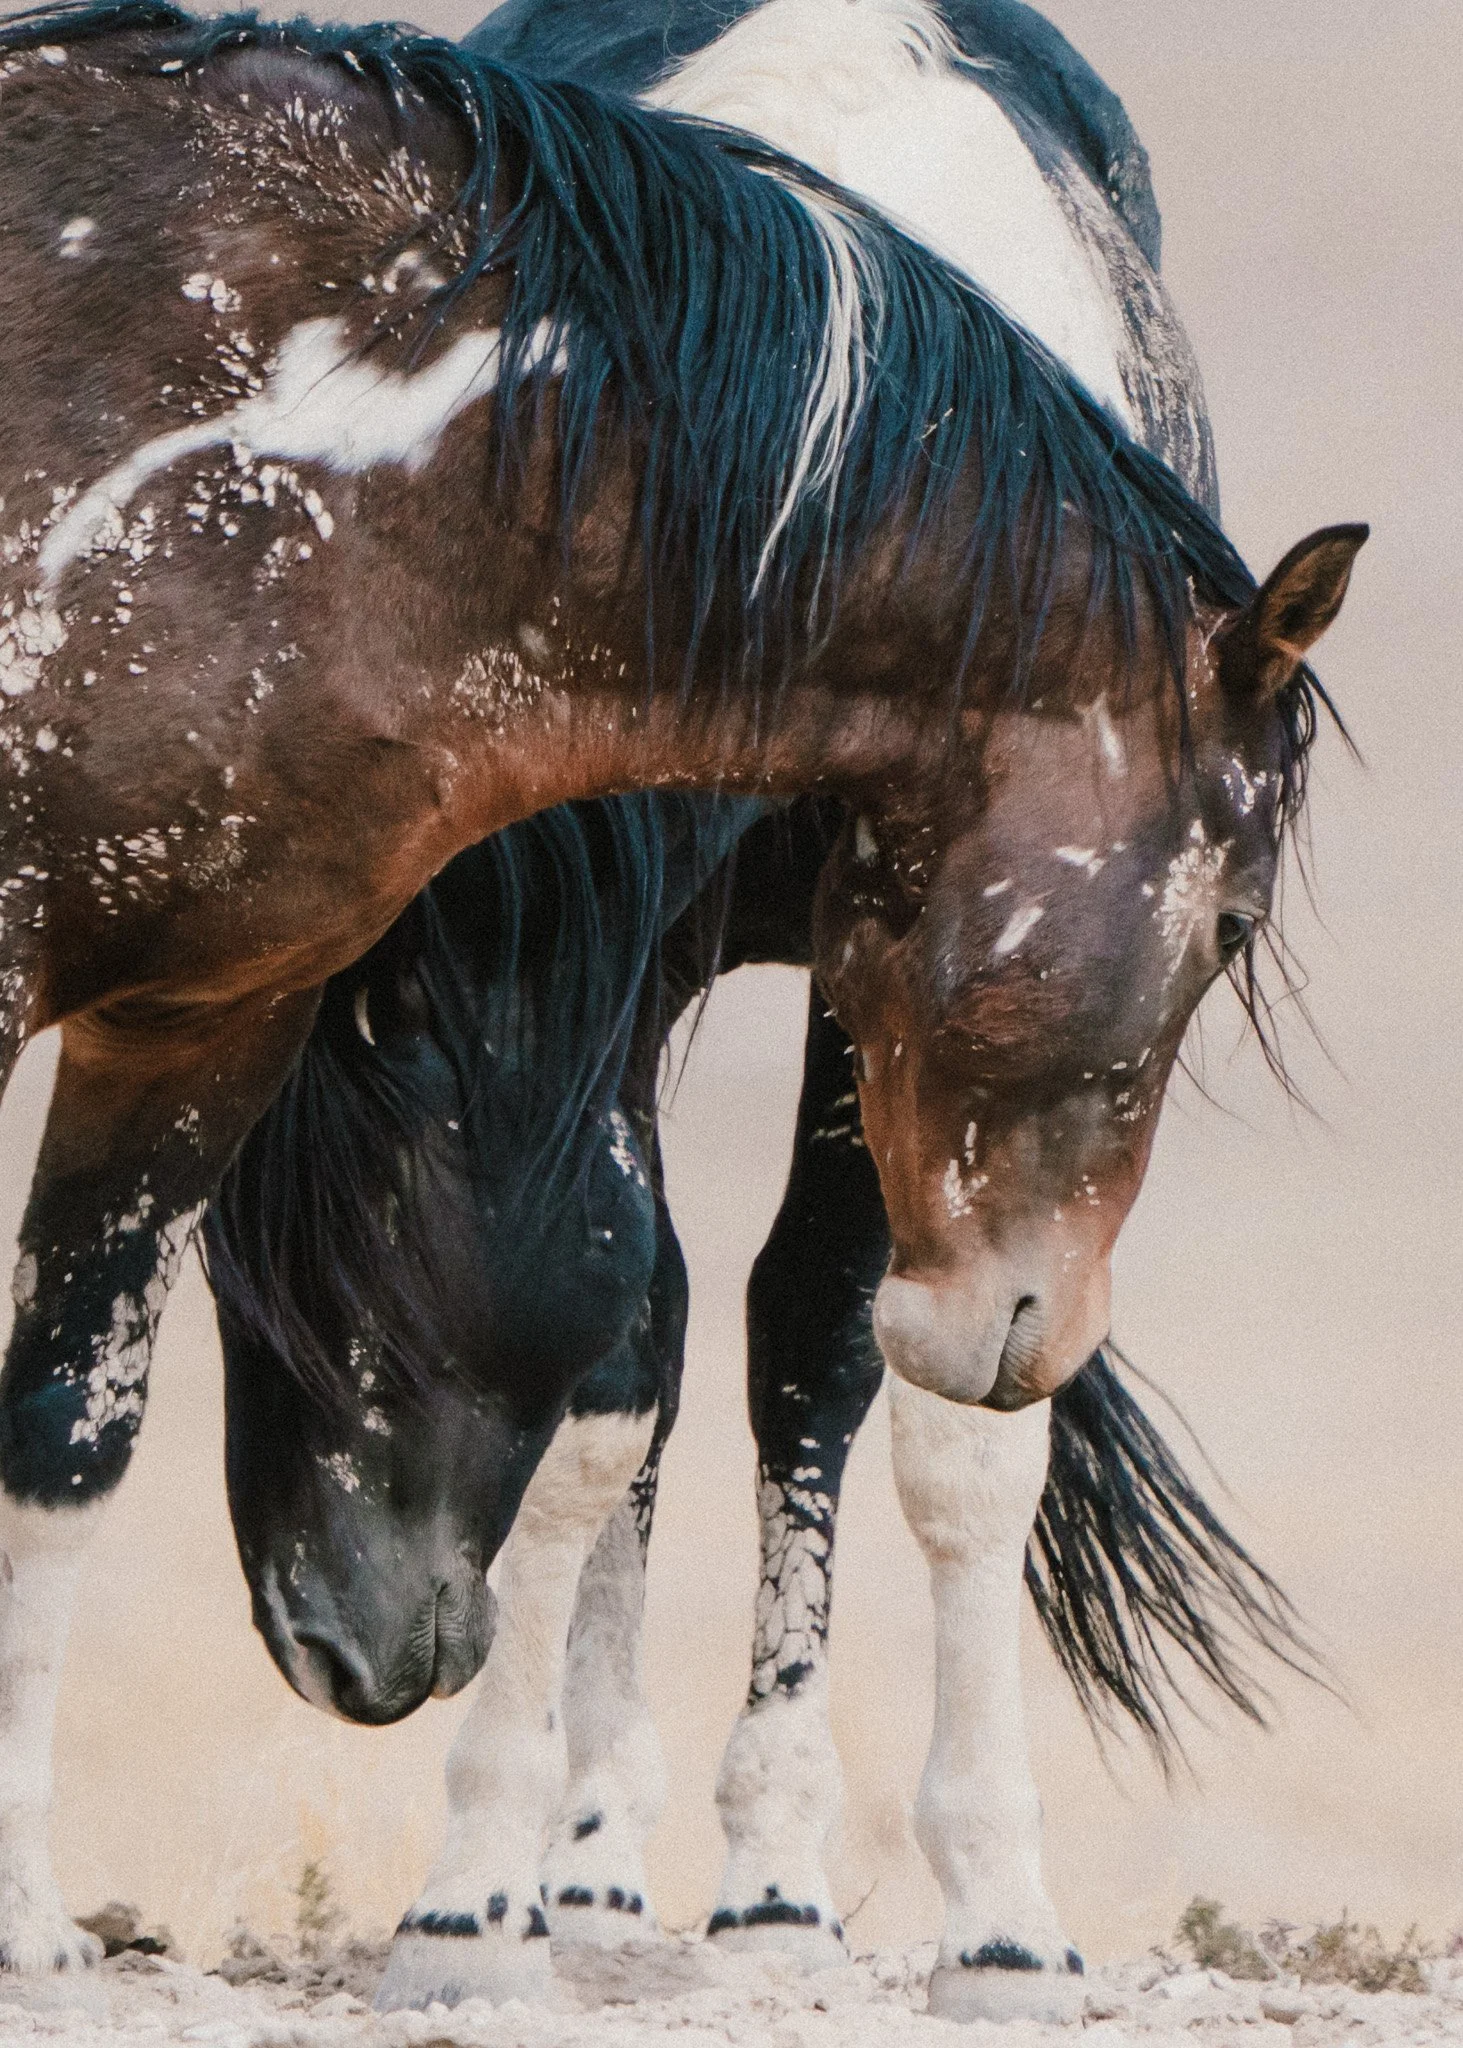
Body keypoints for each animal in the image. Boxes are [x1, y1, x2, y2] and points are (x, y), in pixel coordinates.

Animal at [0, 0, 1360, 1990]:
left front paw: (914, 1902)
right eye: (1239, 915)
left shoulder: (876, 1049)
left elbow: (853, 1391)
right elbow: (614, 1370)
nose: (381, 1654)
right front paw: (489, 1889)